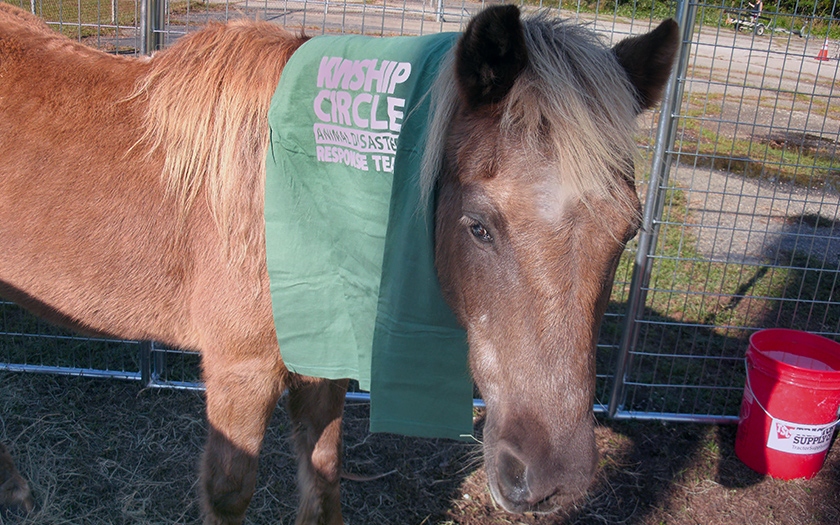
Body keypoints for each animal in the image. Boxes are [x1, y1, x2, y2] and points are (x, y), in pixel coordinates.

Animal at [0, 3, 680, 520]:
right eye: (479, 226)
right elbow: (230, 491)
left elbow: (324, 474)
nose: (549, 479)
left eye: (627, 232)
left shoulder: (321, 366)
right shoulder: (239, 374)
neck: (302, 201)